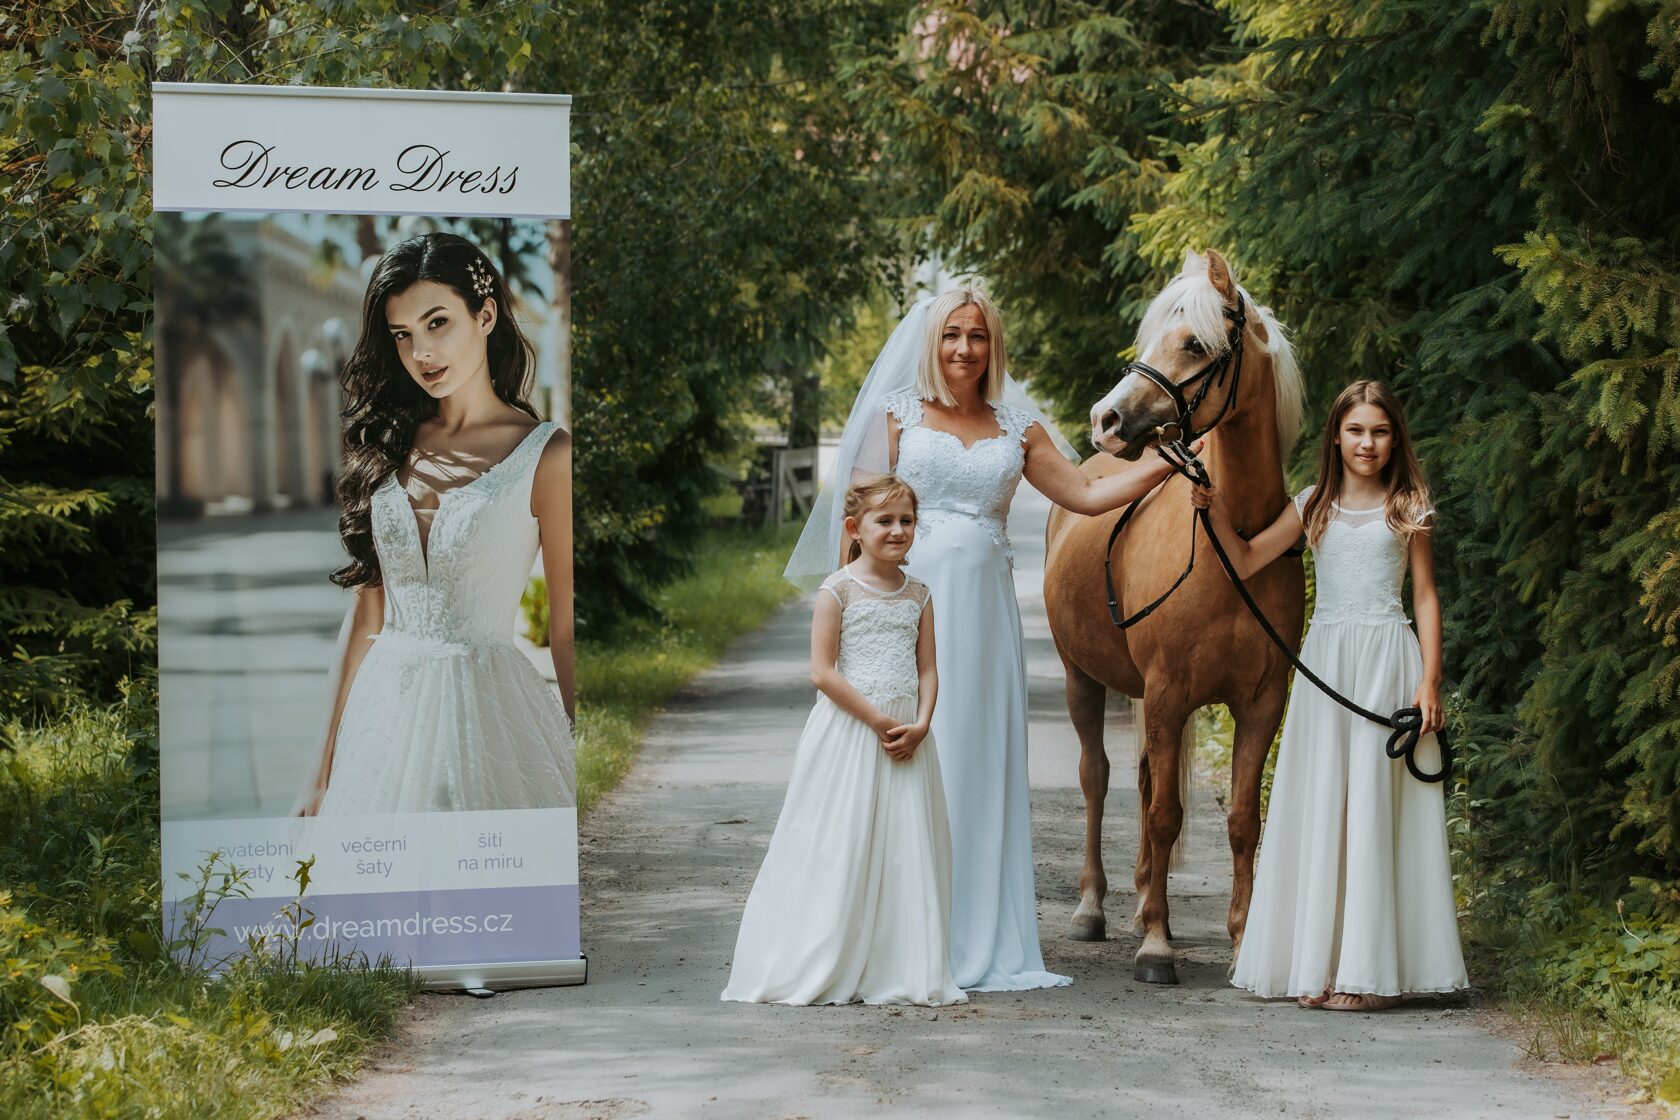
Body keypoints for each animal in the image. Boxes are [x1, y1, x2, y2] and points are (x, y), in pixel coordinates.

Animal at [1042, 249, 1306, 985]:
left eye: (1193, 343)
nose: (1107, 419)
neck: (1233, 539)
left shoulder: (1261, 702)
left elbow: (1243, 818)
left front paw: (1241, 939)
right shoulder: (1167, 694)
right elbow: (1164, 813)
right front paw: (1158, 946)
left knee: (1135, 779)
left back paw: (1137, 902)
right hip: (1083, 679)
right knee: (1098, 779)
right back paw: (1095, 908)